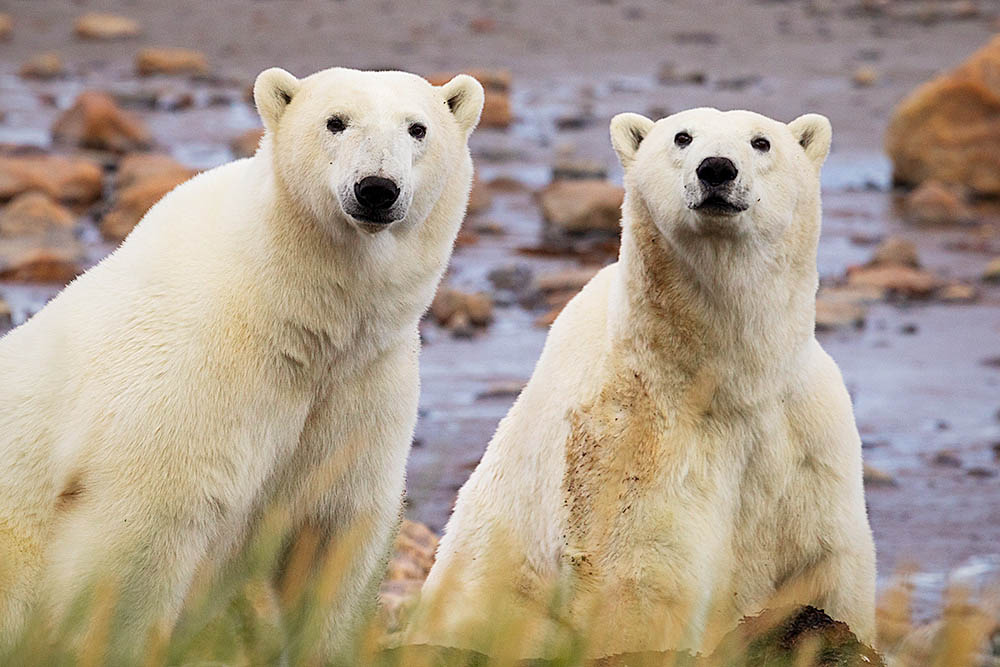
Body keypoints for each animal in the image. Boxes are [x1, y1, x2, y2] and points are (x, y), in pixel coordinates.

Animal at [0, 65, 484, 656]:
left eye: (417, 128)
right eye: (336, 121)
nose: (376, 188)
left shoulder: (361, 383)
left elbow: (333, 536)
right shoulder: (191, 380)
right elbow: (133, 545)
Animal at [406, 108, 876, 656]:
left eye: (762, 142)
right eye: (682, 137)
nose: (717, 169)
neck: (733, 380)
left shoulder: (805, 440)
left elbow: (826, 569)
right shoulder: (632, 436)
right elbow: (639, 578)